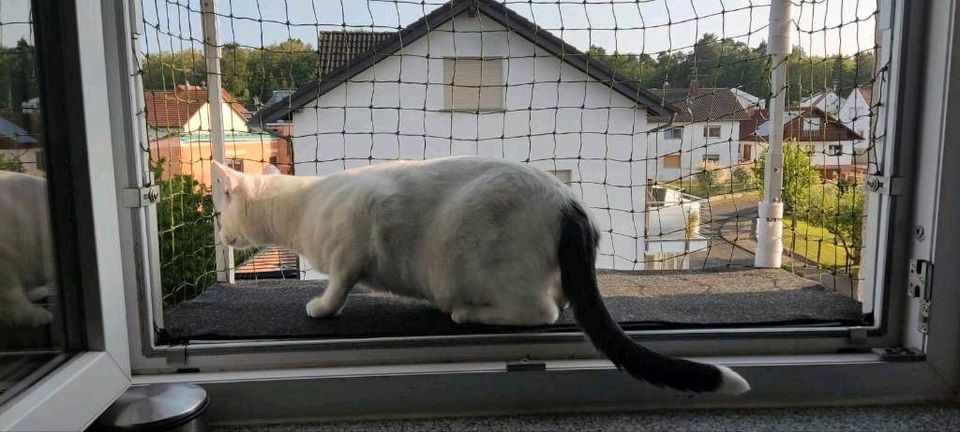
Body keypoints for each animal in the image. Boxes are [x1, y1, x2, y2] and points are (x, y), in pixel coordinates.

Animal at [212, 159, 752, 394]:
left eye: (219, 213)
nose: (218, 232)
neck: (303, 206)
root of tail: (569, 201)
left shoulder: (357, 236)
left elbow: (339, 283)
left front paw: (322, 307)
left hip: (482, 259)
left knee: (543, 311)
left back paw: (465, 312)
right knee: (560, 298)